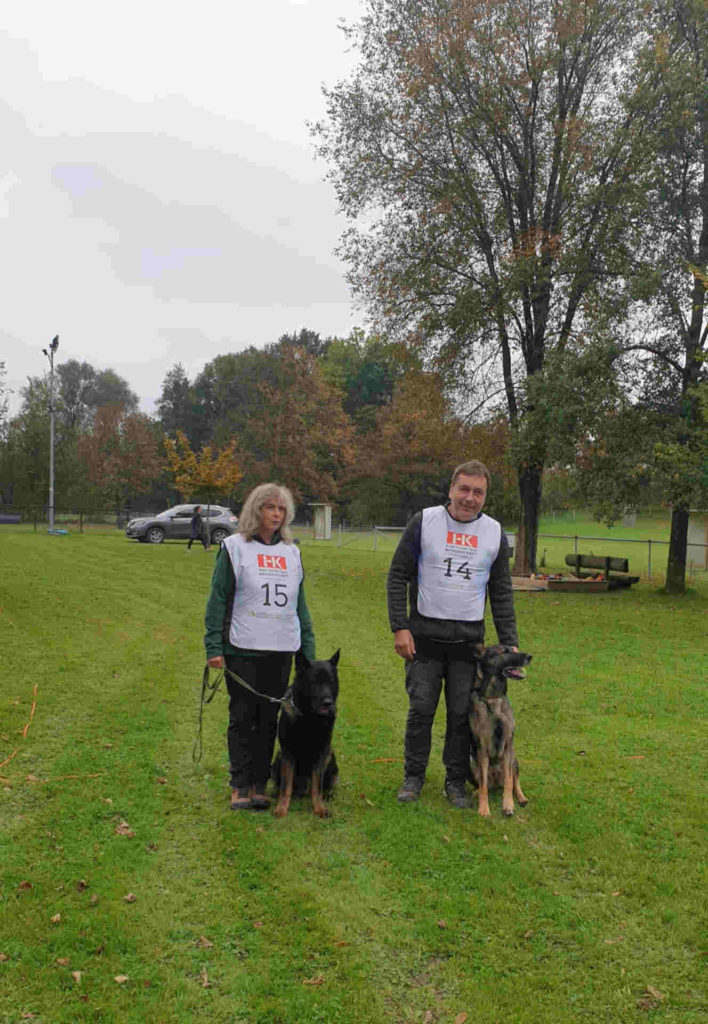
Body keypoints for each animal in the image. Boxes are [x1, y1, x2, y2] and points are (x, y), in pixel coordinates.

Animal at [272, 651, 340, 819]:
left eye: (331, 682)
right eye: (314, 683)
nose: (328, 703)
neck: (310, 718)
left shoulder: (321, 753)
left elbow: (317, 786)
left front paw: (319, 808)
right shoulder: (288, 753)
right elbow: (286, 786)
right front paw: (282, 808)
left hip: (330, 755)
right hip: (279, 757)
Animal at [471, 643, 532, 819]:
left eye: (513, 649)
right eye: (504, 651)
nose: (530, 656)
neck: (494, 698)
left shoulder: (508, 744)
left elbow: (509, 781)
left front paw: (508, 805)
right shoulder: (482, 748)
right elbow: (483, 784)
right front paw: (484, 808)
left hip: (514, 759)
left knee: (514, 780)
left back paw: (521, 797)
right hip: (472, 762)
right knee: (484, 783)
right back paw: (476, 793)